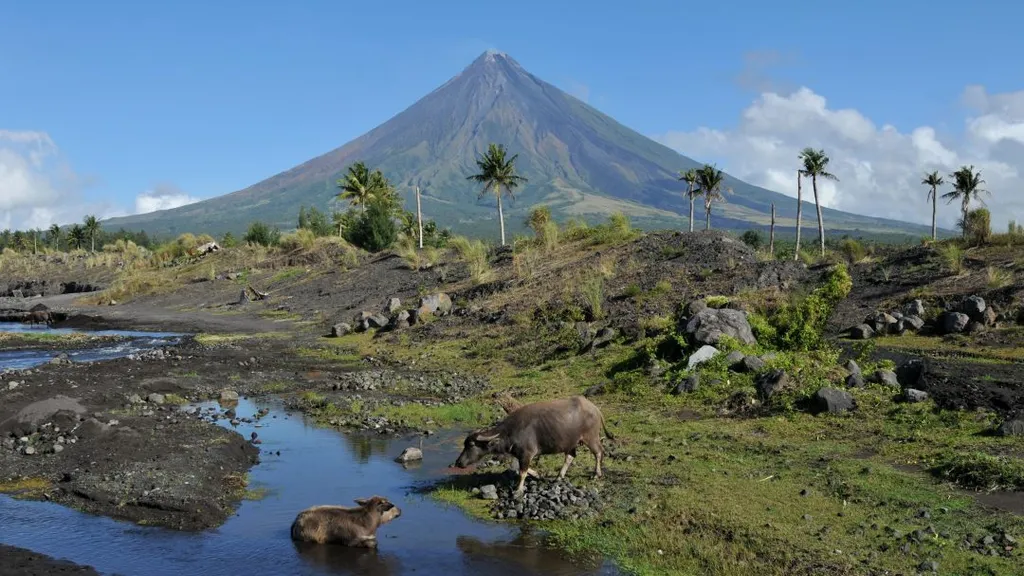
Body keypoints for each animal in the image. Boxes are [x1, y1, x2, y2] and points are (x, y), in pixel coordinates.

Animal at [452, 393, 610, 494]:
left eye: (471, 445)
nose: (458, 462)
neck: (510, 433)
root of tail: (596, 409)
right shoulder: (521, 455)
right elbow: (521, 469)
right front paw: (538, 475)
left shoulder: (526, 454)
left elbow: (522, 472)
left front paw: (518, 489)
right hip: (571, 443)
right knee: (570, 456)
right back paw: (559, 476)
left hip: (591, 437)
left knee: (598, 452)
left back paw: (597, 474)